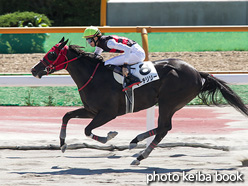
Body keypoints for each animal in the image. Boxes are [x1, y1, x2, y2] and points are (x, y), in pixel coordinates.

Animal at [31, 37, 248, 165]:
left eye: (51, 53)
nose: (34, 70)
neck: (94, 77)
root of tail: (198, 73)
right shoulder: (91, 110)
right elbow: (66, 116)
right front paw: (62, 144)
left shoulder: (108, 113)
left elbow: (87, 130)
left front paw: (109, 136)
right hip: (171, 103)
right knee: (163, 128)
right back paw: (136, 143)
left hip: (168, 102)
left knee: (164, 128)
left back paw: (139, 153)